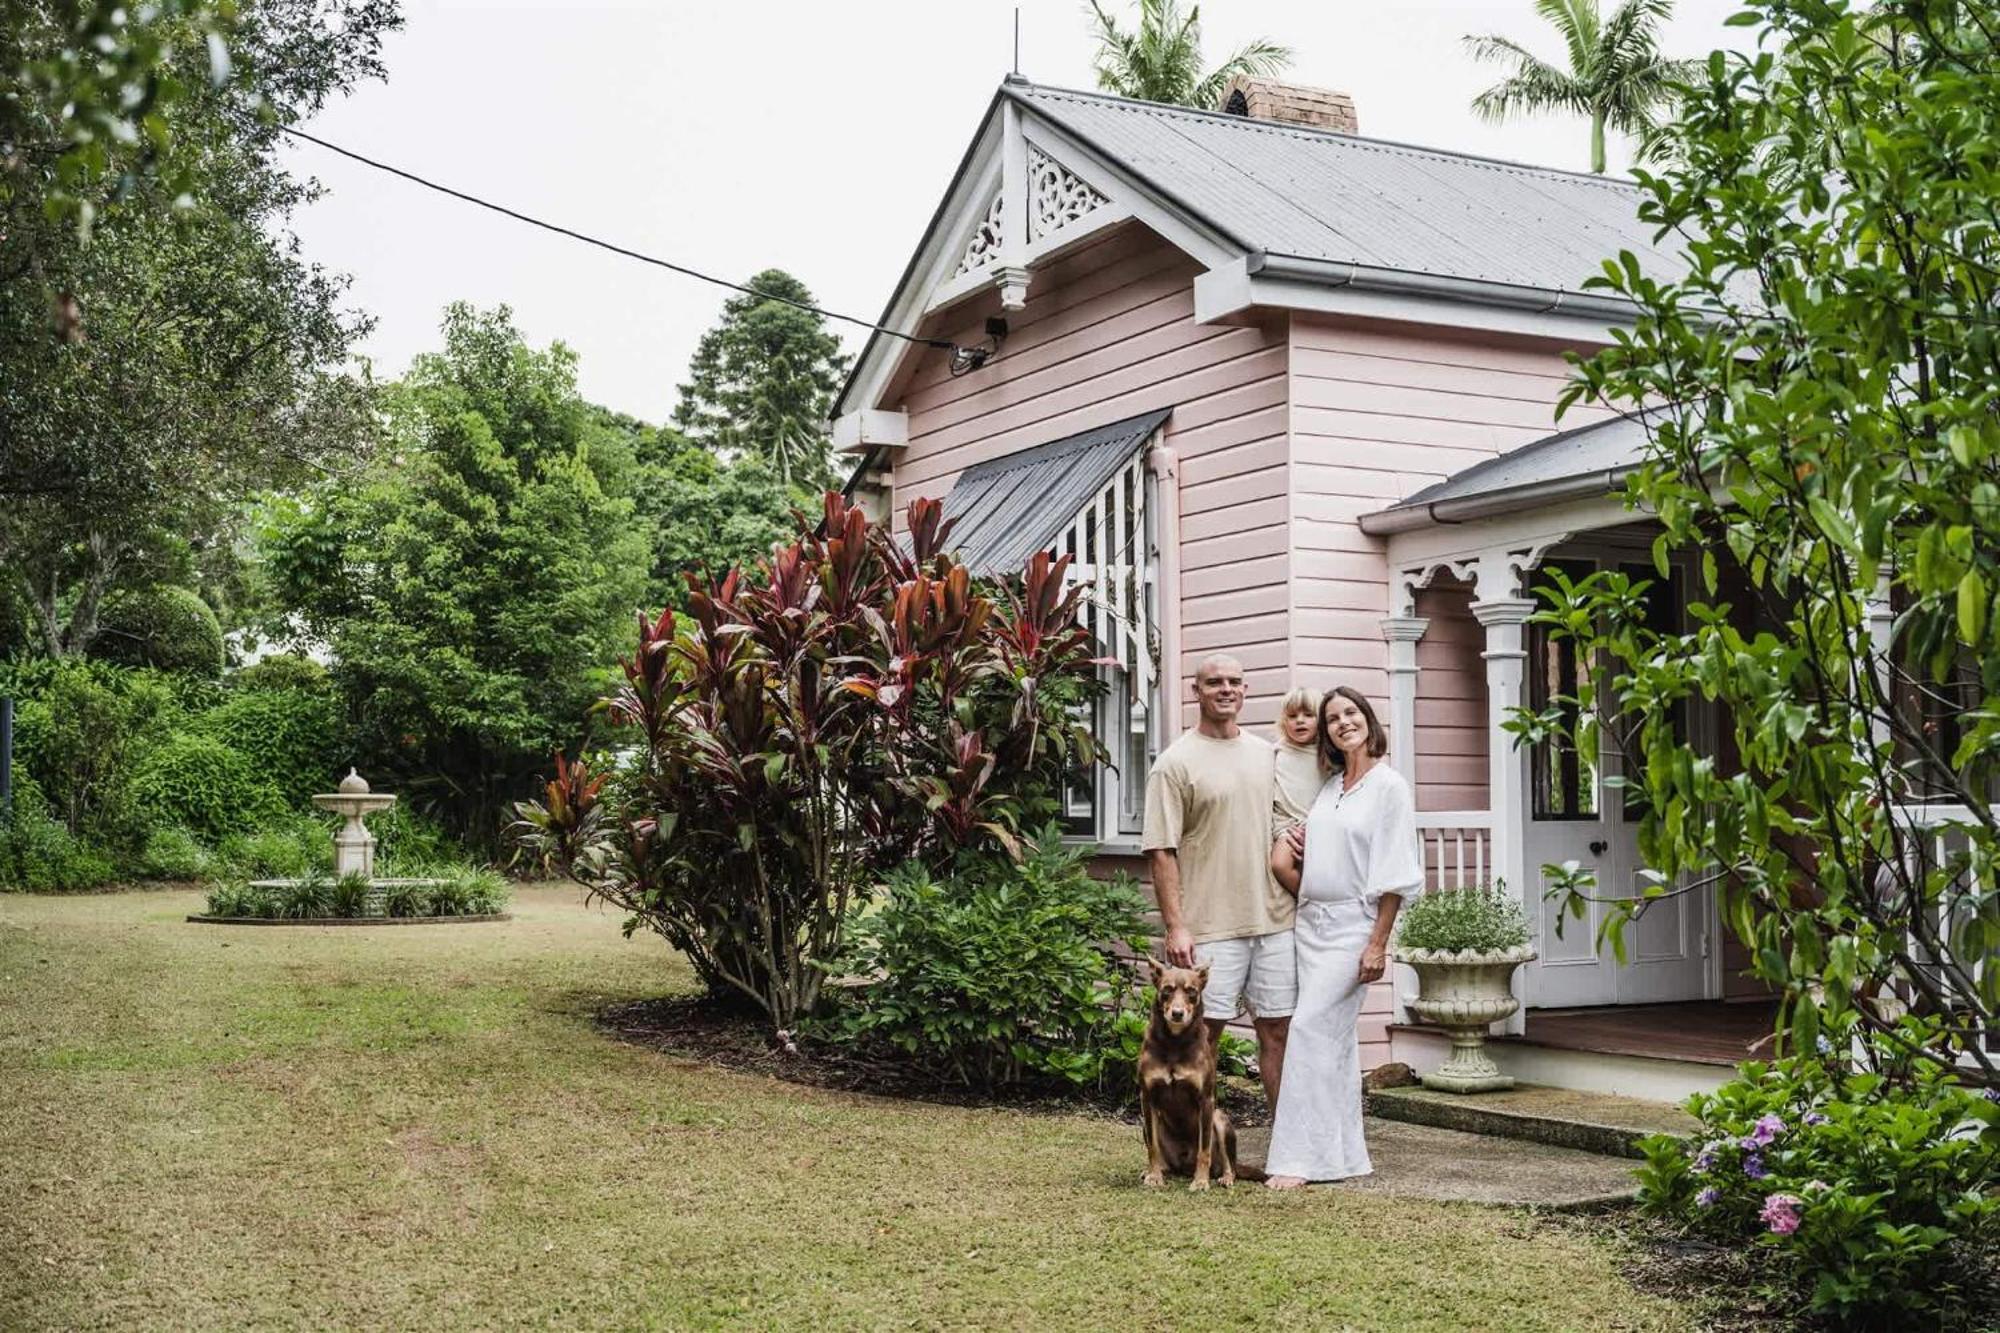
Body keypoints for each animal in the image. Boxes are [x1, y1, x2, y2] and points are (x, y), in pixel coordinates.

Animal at [1144, 956, 1264, 1184]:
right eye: (1167, 990)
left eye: (1191, 991)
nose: (1177, 1013)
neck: (1174, 1042)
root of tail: (1184, 1165)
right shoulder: (1148, 1098)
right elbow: (1152, 1145)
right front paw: (1154, 1176)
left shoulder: (1205, 1100)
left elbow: (1204, 1149)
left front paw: (1200, 1182)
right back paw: (1161, 1170)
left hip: (1220, 1119)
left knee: (1229, 1164)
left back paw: (1225, 1177)